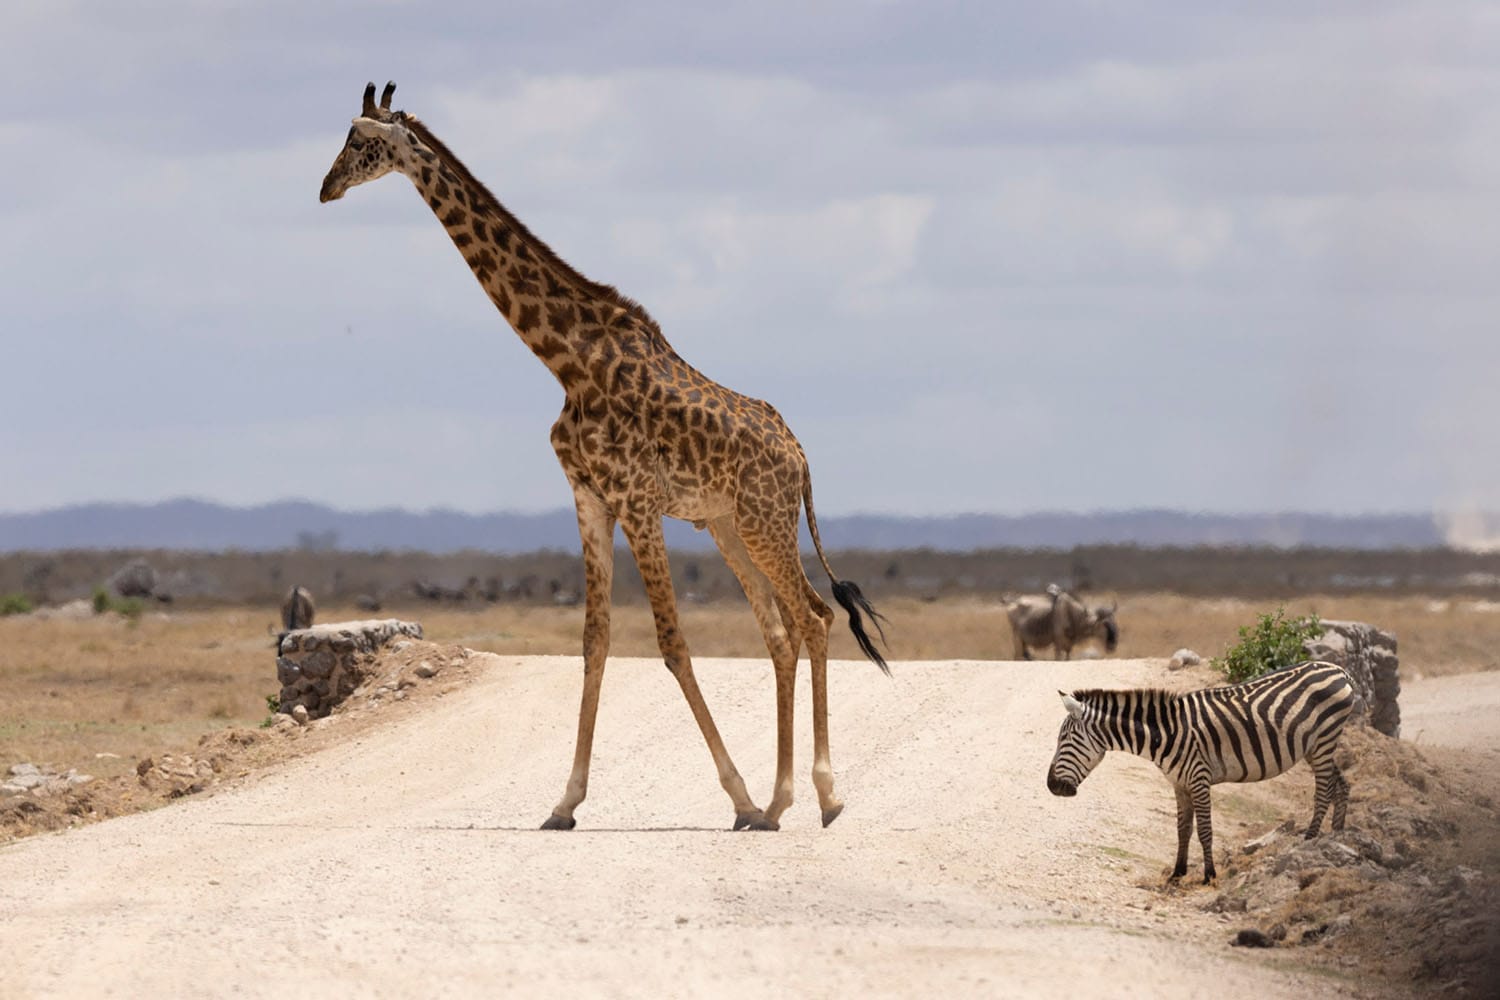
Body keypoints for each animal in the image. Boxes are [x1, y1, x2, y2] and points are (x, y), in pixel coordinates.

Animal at [321, 82, 882, 833]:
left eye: (360, 140)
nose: (325, 187)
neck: (567, 360)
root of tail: (799, 454)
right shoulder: (589, 498)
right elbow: (595, 642)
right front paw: (564, 802)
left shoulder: (637, 502)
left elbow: (672, 644)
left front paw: (733, 794)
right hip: (728, 525)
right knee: (781, 630)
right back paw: (777, 799)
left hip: (766, 520)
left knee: (814, 619)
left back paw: (818, 794)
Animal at [1044, 665, 1362, 881]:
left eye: (1065, 739)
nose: (1051, 786)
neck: (1164, 734)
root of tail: (1339, 670)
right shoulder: (1179, 783)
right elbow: (1183, 829)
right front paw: (1178, 872)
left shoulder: (1199, 779)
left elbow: (1205, 831)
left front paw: (1209, 874)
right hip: (1316, 745)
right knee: (1341, 783)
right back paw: (1336, 836)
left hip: (1324, 739)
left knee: (1324, 789)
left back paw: (1310, 838)